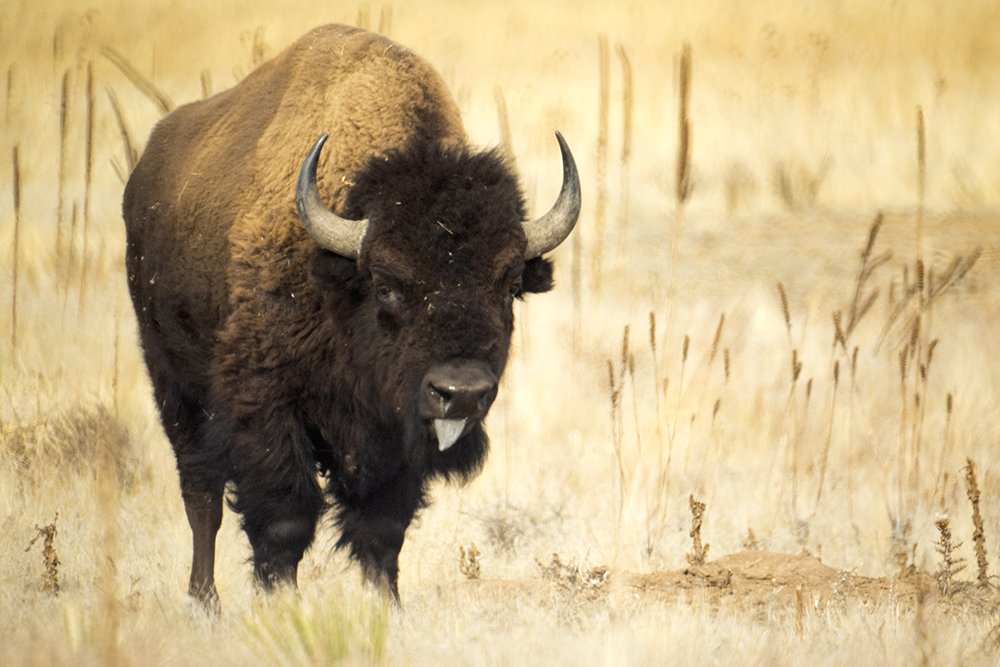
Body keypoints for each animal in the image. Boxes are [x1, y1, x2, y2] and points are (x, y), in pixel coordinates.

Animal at [123, 24, 579, 607]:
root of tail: (145, 171)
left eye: (509, 285)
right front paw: (280, 605)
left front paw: (386, 608)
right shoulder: (265, 406)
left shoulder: (395, 436)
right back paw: (204, 601)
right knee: (200, 494)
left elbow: (381, 529)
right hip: (174, 386)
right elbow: (285, 517)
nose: (461, 393)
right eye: (385, 284)